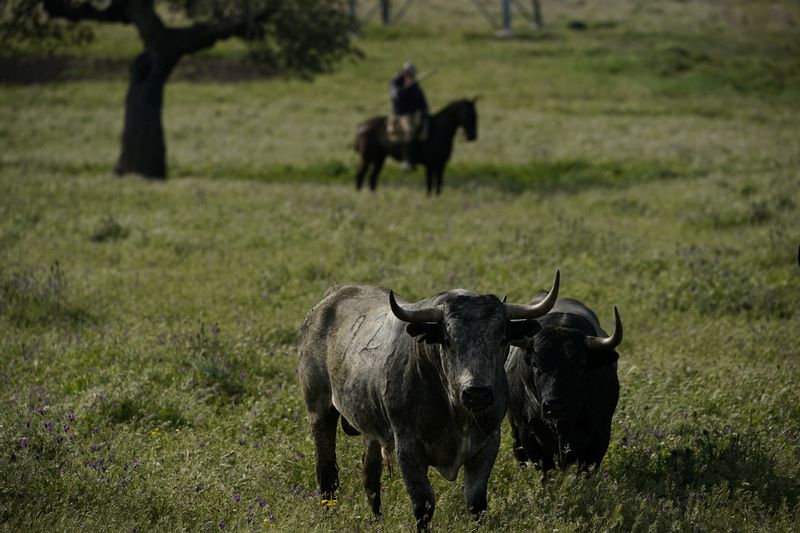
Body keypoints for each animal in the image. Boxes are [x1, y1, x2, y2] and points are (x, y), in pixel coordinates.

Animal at [296, 272, 560, 528]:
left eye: (502, 339)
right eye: (448, 340)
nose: (477, 393)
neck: (455, 409)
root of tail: (333, 296)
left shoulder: (488, 443)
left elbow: (476, 503)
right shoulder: (408, 447)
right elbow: (423, 504)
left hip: (370, 428)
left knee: (370, 475)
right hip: (319, 411)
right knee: (327, 472)